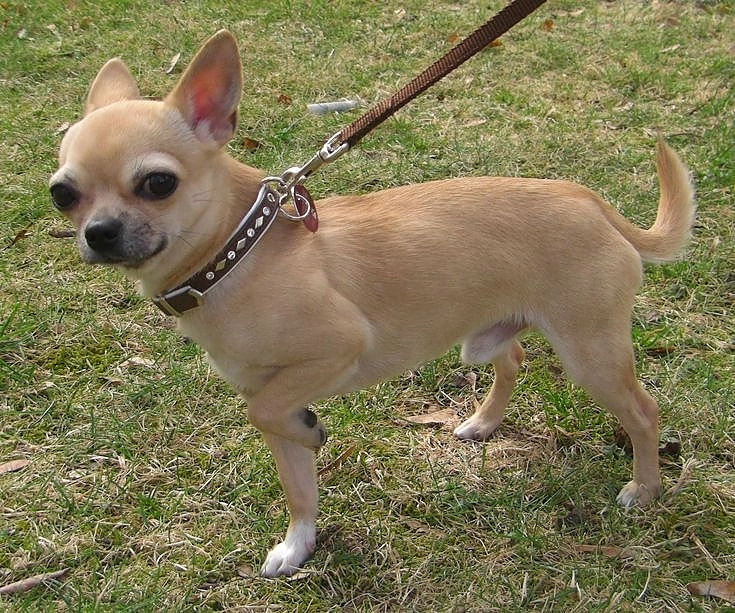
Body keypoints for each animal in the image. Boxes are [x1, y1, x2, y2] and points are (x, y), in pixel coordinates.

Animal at [50, 30, 695, 577]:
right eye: (63, 194)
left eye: (158, 183)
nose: (98, 232)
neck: (237, 252)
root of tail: (588, 200)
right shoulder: (273, 400)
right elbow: (297, 483)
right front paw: (299, 544)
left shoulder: (333, 351)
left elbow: (264, 410)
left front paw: (311, 435)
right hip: (486, 336)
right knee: (512, 361)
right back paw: (484, 422)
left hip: (592, 355)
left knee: (644, 413)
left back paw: (644, 488)